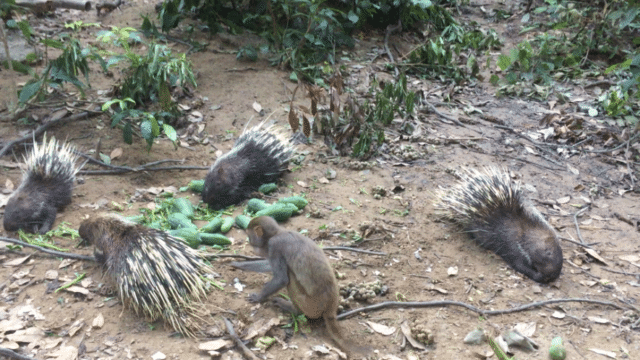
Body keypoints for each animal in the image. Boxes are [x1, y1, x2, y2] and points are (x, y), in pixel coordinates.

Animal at [236, 215, 368, 356]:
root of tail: (330, 307)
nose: (250, 243)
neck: (278, 233)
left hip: (310, 306)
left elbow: (281, 279)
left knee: (290, 277)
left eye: (249, 236)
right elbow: (269, 266)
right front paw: (238, 264)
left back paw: (293, 309)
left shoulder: (274, 246)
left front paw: (258, 297)